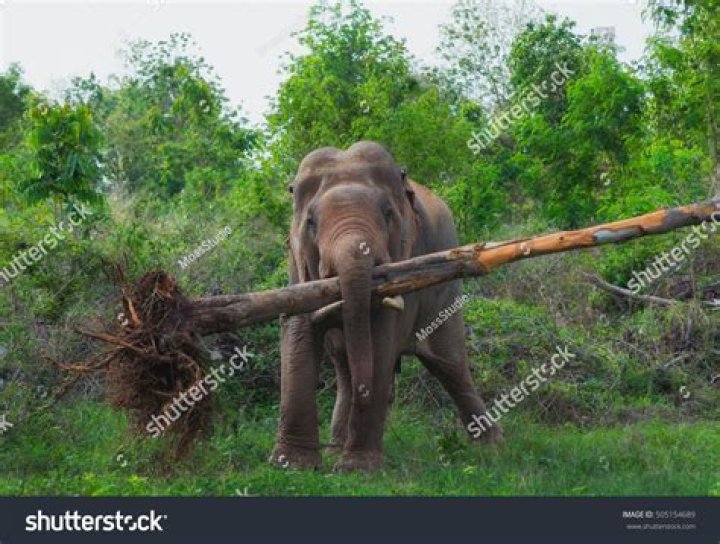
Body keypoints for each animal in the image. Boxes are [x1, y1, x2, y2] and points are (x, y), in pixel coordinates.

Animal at [270, 141, 502, 472]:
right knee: (346, 367)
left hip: (446, 295)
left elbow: (382, 339)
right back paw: (335, 449)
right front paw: (292, 464)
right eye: (311, 223)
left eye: (388, 213)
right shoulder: (297, 263)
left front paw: (357, 469)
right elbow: (298, 330)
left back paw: (493, 452)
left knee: (451, 365)